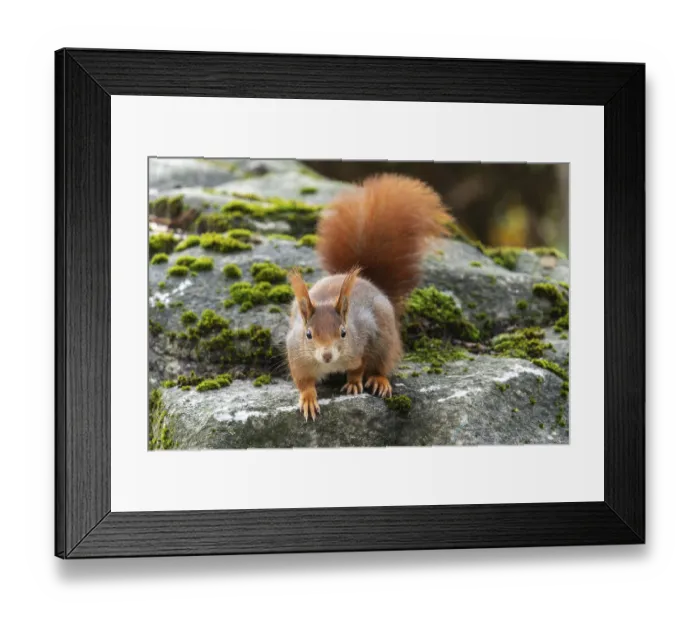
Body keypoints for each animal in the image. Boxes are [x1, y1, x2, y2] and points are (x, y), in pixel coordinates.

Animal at [286, 173, 454, 421]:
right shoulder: (298, 357)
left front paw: (354, 382)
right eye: (308, 334)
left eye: (343, 332)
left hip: (385, 341)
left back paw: (378, 380)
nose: (326, 356)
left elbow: (358, 367)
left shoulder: (360, 343)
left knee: (381, 364)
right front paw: (308, 399)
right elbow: (304, 382)